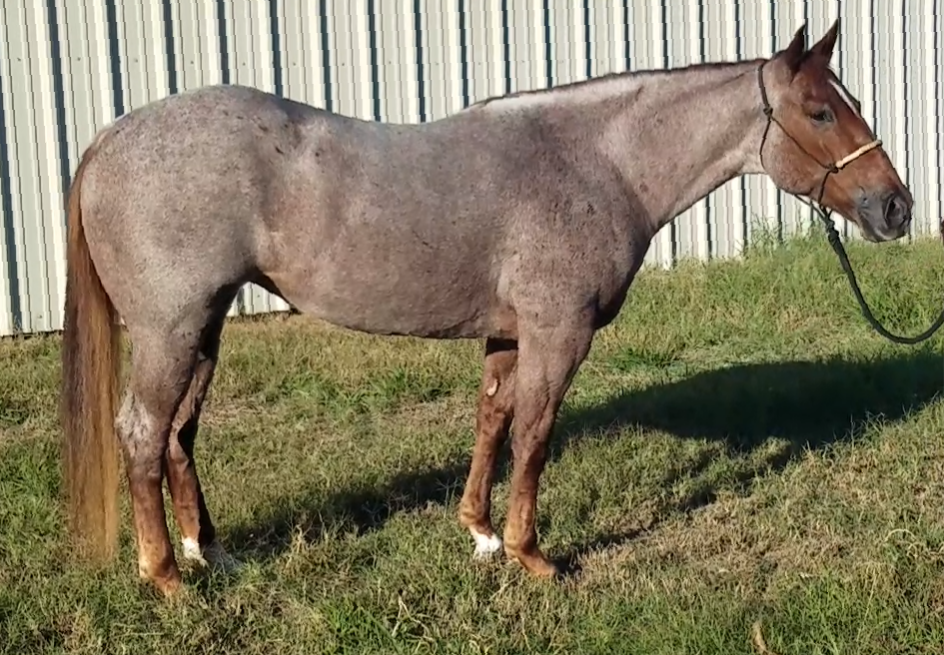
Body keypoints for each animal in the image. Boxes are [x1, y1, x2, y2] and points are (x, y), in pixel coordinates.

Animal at [60, 18, 912, 597]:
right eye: (820, 111)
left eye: (847, 101)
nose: (896, 208)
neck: (596, 161)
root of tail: (108, 139)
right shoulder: (558, 333)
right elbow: (534, 434)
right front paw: (533, 553)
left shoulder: (507, 334)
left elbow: (492, 421)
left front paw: (479, 533)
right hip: (170, 330)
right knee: (143, 432)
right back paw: (167, 575)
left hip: (202, 327)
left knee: (179, 434)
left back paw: (210, 551)